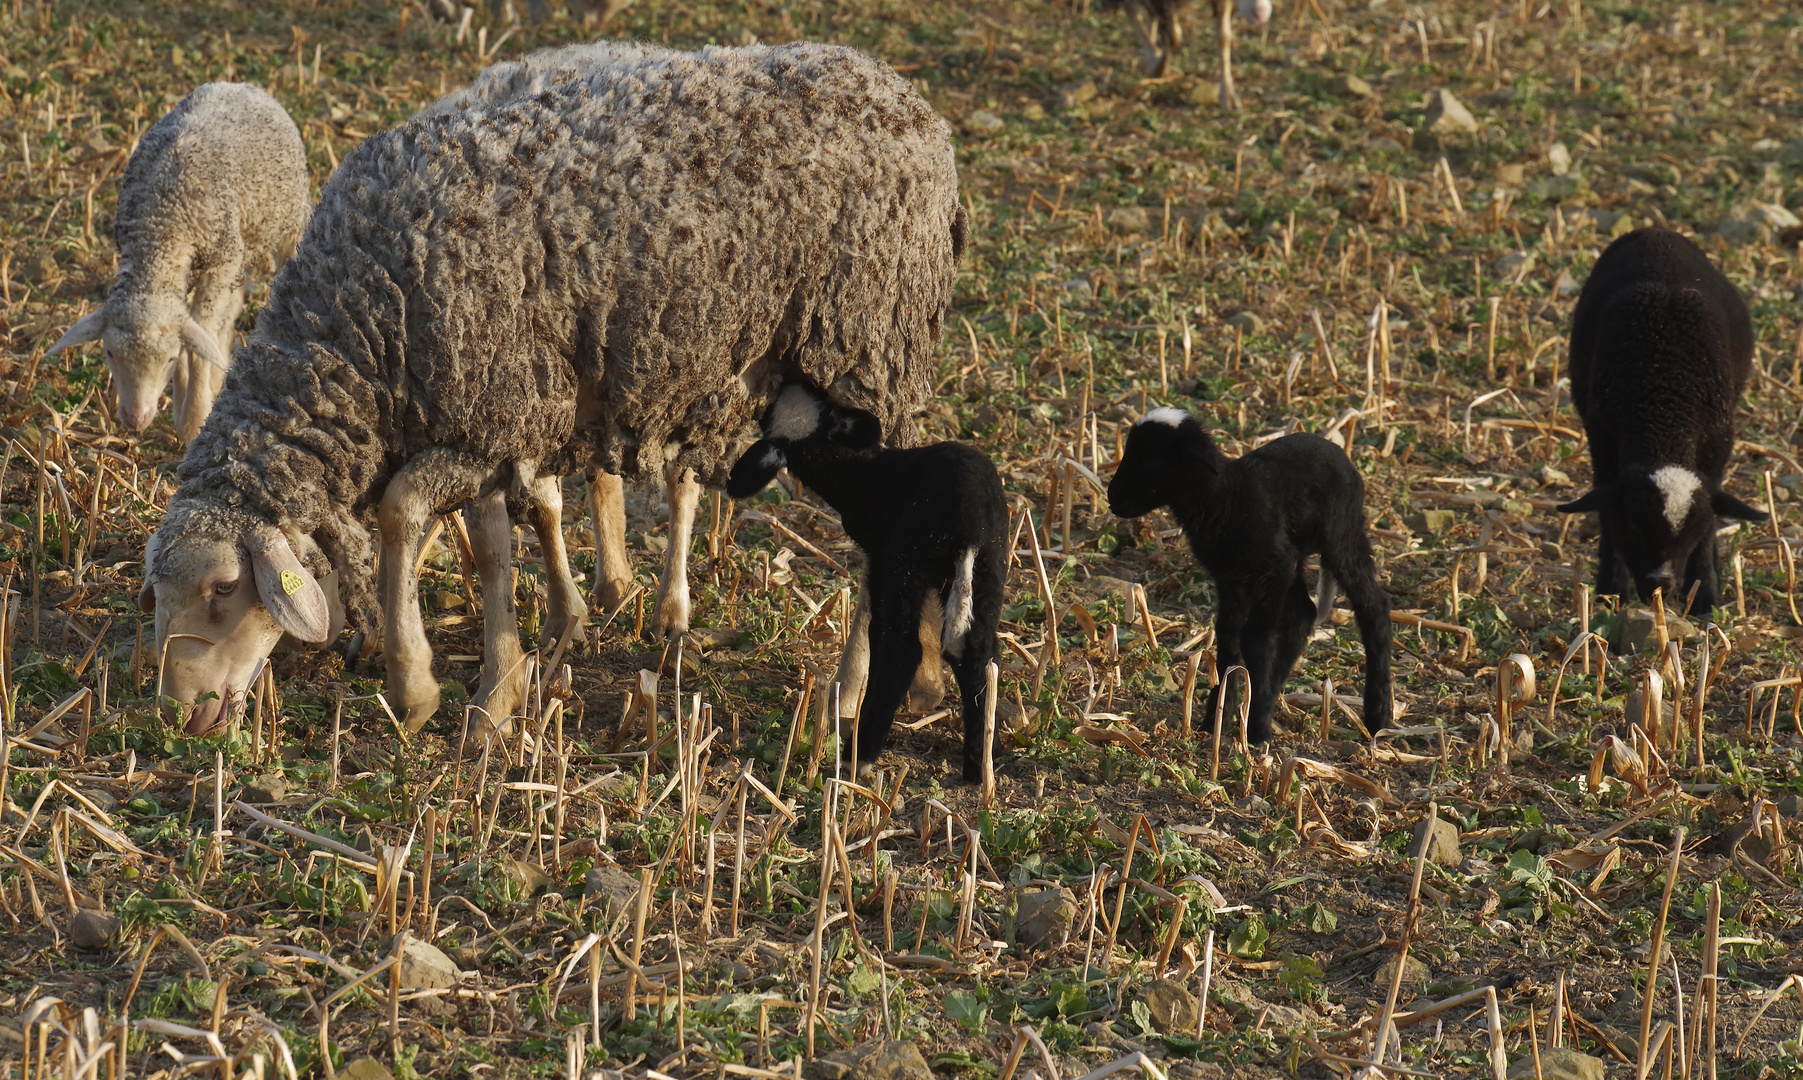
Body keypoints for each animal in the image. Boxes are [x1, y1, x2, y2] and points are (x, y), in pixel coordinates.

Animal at [49, 82, 310, 441]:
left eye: (169, 359)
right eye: (109, 353)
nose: (135, 419)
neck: (162, 225)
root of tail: (238, 85)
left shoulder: (219, 264)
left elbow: (199, 340)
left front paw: (194, 420)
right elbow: (197, 333)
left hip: (288, 225)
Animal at [137, 42, 973, 735]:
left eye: (222, 589)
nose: (181, 714)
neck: (360, 322)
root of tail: (914, 106)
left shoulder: (499, 407)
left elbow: (403, 515)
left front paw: (419, 688)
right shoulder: (488, 417)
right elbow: (494, 547)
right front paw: (500, 691)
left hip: (866, 347)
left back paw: (848, 698)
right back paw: (922, 678)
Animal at [732, 384, 1016, 782]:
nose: (791, 384)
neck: (859, 472)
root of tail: (970, 528)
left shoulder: (881, 558)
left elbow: (877, 633)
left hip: (909, 558)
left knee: (904, 648)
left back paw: (859, 756)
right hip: (990, 568)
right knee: (981, 653)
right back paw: (981, 763)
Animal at [1096, 405, 1391, 742]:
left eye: (1150, 457)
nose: (1112, 498)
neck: (1227, 498)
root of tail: (1343, 456)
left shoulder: (1270, 570)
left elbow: (1255, 641)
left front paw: (1257, 727)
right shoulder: (1231, 577)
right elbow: (1228, 637)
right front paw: (1218, 718)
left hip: (1341, 539)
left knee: (1373, 608)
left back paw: (1377, 717)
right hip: (1294, 560)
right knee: (1302, 615)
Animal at [1550, 226, 1759, 616]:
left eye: (1692, 532)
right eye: (1633, 525)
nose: (1661, 586)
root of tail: (1655, 232)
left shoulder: (1718, 442)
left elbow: (1712, 516)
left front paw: (1705, 596)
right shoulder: (1603, 438)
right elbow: (1605, 512)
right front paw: (1609, 593)